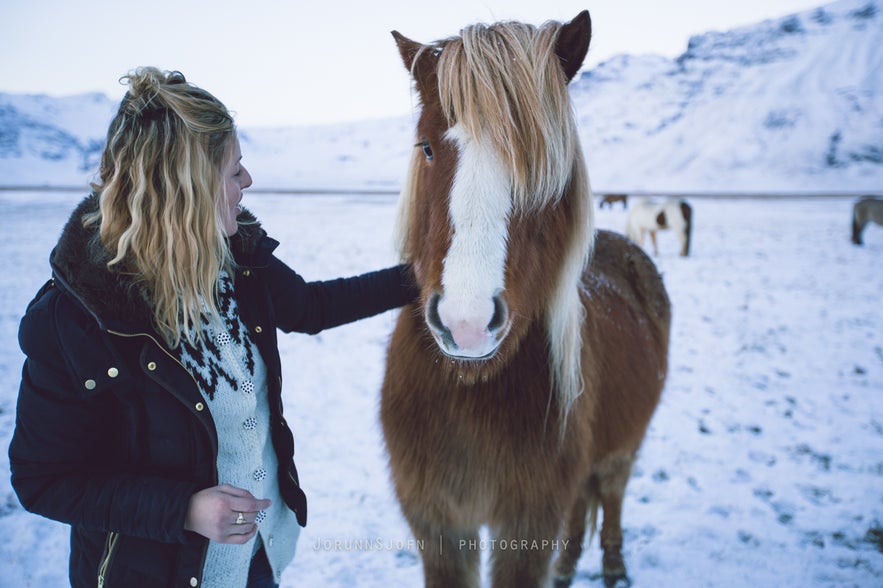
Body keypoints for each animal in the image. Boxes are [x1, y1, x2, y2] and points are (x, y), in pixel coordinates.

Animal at [378, 10, 668, 588]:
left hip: (622, 451)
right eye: (426, 147)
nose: (466, 324)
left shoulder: (527, 525)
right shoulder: (439, 524)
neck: (468, 394)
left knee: (612, 497)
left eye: (542, 162)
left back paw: (612, 566)